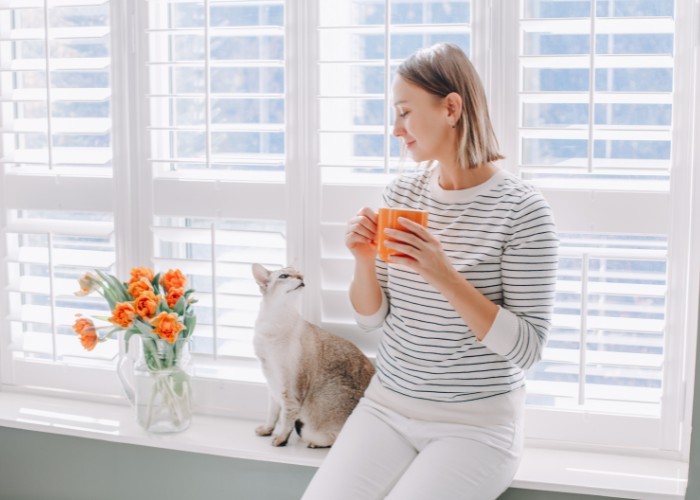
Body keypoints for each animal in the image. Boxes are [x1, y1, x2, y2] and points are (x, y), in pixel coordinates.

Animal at [250, 264, 374, 448]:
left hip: (311, 428)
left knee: (328, 438)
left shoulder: (288, 389)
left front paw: (280, 439)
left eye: (298, 274)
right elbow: (272, 414)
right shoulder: (272, 381)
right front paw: (266, 430)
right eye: (284, 276)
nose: (301, 277)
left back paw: (313, 444)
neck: (272, 324)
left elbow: (285, 418)